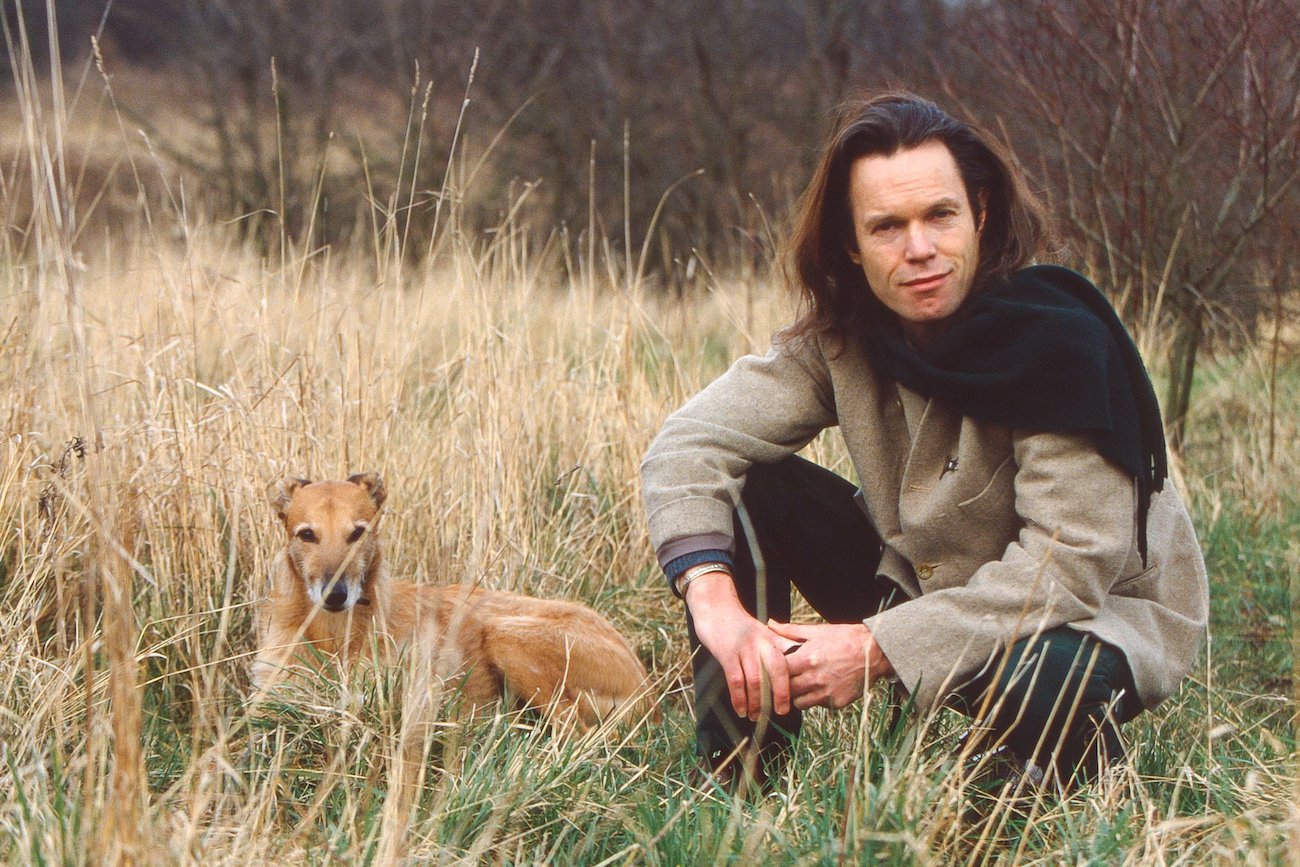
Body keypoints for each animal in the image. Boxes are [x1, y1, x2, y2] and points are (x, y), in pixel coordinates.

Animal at [254, 470, 655, 727]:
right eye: (306, 534)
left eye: (358, 532)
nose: (335, 595)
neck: (333, 636)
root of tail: (647, 692)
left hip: (509, 637)